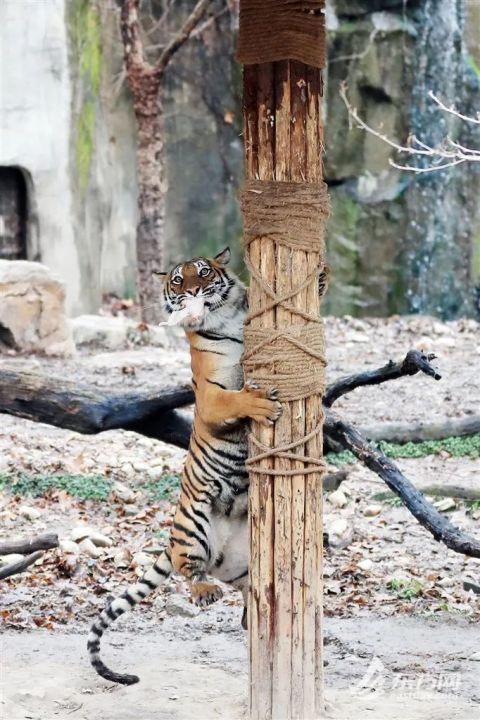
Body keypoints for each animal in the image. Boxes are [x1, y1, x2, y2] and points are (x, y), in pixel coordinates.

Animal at [86, 249, 284, 688]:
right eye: (178, 280)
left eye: (204, 271)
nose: (193, 291)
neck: (226, 319)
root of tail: (172, 538)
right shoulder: (211, 397)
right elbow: (237, 399)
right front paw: (262, 404)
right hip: (194, 526)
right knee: (186, 569)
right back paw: (204, 592)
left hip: (242, 558)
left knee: (243, 591)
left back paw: (248, 616)